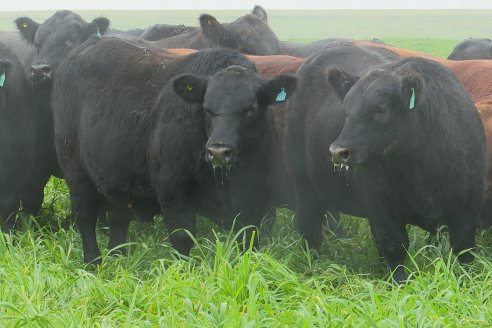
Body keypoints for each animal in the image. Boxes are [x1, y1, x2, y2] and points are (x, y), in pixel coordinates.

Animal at [52, 37, 296, 264]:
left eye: (251, 109)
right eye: (206, 108)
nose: (218, 151)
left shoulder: (255, 201)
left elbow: (248, 241)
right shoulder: (174, 192)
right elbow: (183, 238)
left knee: (118, 219)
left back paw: (118, 256)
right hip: (76, 173)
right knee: (85, 216)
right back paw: (93, 261)